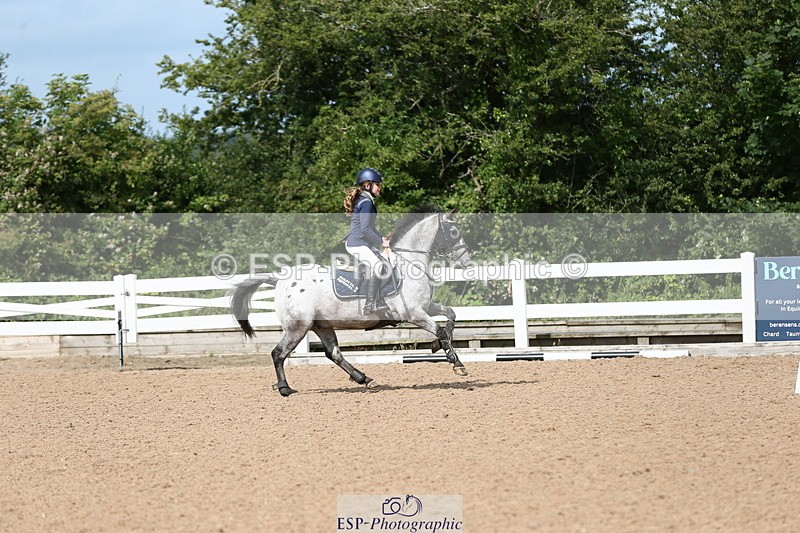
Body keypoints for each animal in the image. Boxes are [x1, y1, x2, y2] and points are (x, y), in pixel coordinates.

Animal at [230, 206, 473, 396]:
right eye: (453, 232)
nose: (467, 263)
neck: (409, 262)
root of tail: (280, 279)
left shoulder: (425, 307)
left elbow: (451, 315)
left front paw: (438, 346)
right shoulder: (414, 313)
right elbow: (440, 331)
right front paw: (456, 363)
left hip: (321, 325)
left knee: (333, 353)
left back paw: (364, 378)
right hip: (298, 326)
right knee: (279, 353)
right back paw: (284, 388)